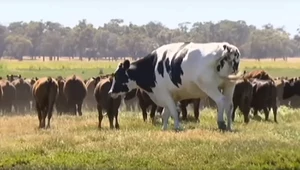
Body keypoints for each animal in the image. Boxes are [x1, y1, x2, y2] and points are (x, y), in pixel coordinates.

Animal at [107, 41, 241, 131]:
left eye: (118, 75)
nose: (110, 92)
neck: (153, 66)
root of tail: (227, 47)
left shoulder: (163, 93)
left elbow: (174, 111)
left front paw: (178, 127)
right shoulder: (172, 95)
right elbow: (165, 113)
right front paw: (164, 128)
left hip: (209, 86)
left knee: (221, 100)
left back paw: (221, 123)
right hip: (229, 85)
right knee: (229, 104)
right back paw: (230, 127)